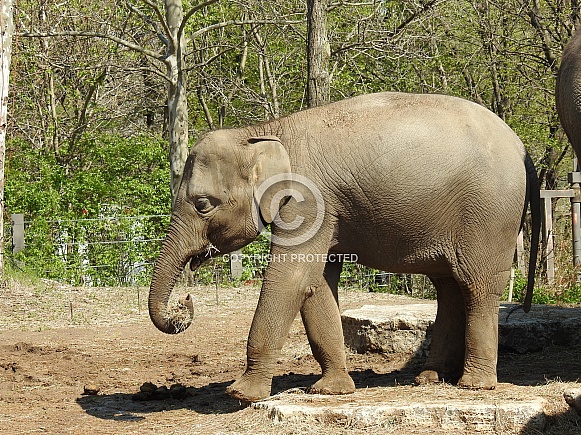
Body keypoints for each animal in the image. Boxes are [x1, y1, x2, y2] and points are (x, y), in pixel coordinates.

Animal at [148, 92, 540, 406]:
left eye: (202, 204)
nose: (185, 300)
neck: (264, 131)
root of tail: (523, 149)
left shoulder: (308, 201)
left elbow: (291, 279)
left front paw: (240, 395)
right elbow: (316, 283)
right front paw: (330, 389)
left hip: (489, 216)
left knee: (477, 285)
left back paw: (474, 385)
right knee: (450, 287)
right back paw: (428, 379)